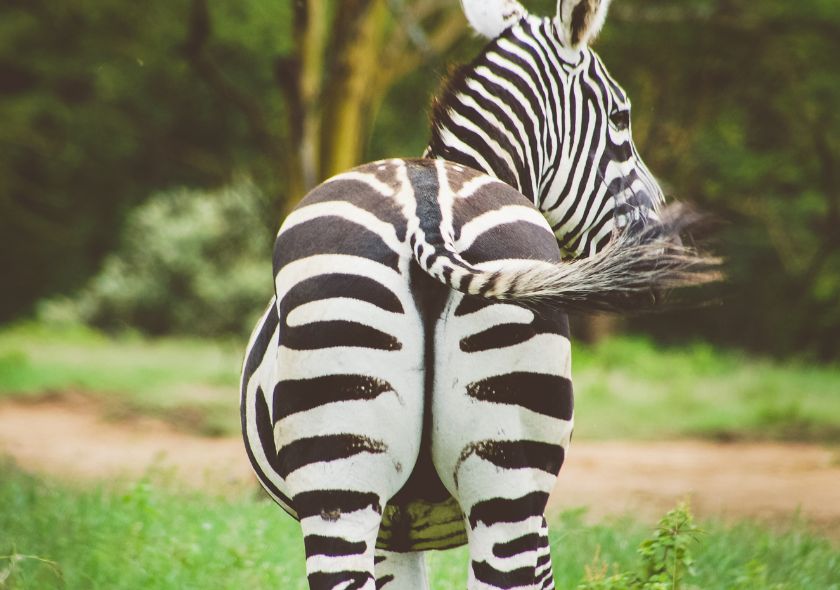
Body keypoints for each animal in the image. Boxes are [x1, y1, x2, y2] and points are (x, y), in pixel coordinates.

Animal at [240, 1, 717, 589]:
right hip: (491, 482)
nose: (663, 241)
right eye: (621, 118)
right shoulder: (526, 524)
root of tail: (427, 211)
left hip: (359, 478)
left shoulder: (397, 530)